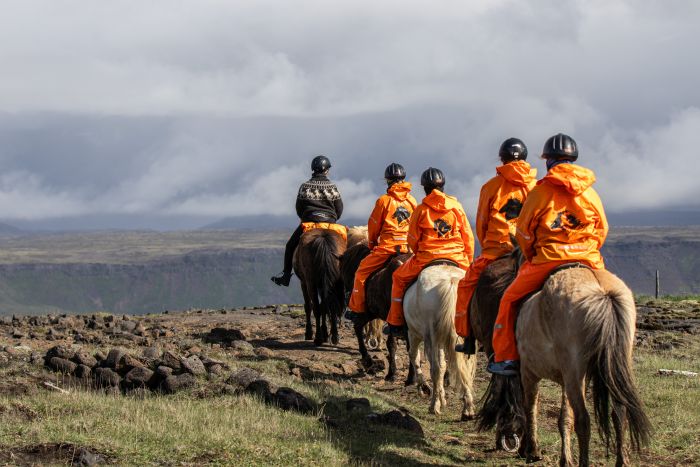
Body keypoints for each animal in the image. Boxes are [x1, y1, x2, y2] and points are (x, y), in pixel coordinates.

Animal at [404, 264, 476, 420]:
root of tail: (450, 280)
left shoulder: (414, 333)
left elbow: (414, 356)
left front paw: (425, 389)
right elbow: (443, 366)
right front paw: (442, 397)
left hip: (430, 336)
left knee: (434, 369)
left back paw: (433, 406)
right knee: (464, 369)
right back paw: (468, 408)